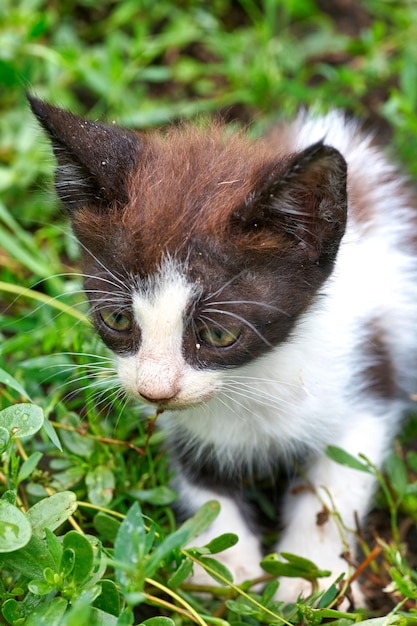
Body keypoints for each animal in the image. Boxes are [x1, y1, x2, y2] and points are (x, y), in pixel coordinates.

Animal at [29, 96, 416, 600]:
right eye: (117, 319)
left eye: (218, 335)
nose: (155, 390)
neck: (248, 382)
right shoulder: (181, 427)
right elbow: (203, 486)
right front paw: (226, 569)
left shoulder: (365, 377)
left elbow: (336, 484)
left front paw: (308, 578)